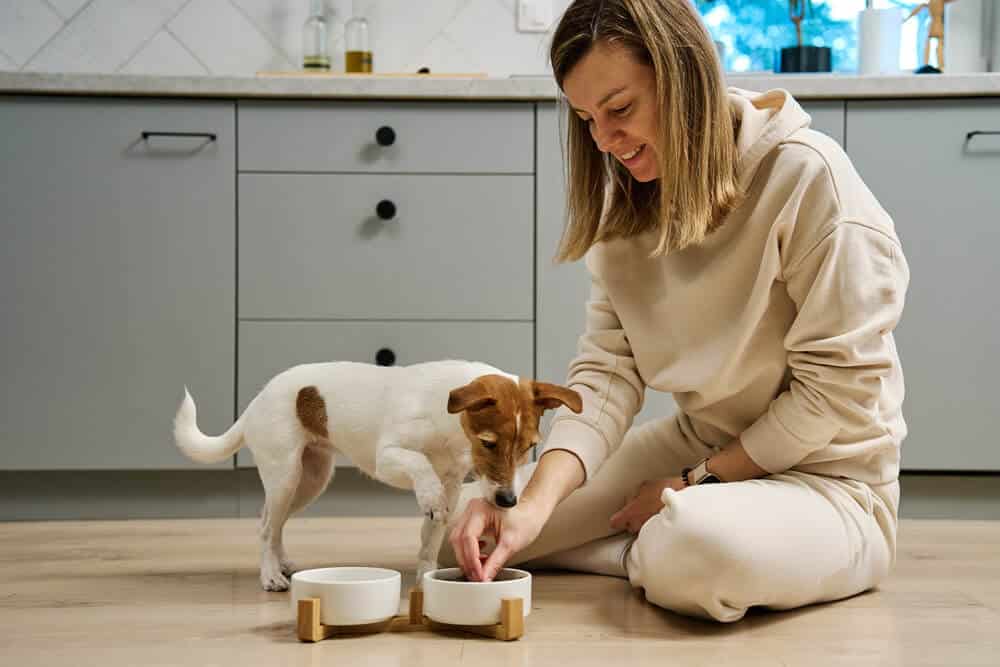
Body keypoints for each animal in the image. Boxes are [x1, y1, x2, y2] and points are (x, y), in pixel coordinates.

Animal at [171, 360, 580, 588]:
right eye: (489, 443)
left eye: (529, 445)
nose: (508, 501)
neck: (450, 426)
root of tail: (255, 402)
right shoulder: (388, 458)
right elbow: (420, 467)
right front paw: (427, 494)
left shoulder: (452, 484)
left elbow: (430, 538)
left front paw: (426, 577)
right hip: (285, 474)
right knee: (266, 525)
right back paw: (270, 575)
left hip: (310, 479)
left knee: (273, 521)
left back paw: (281, 562)